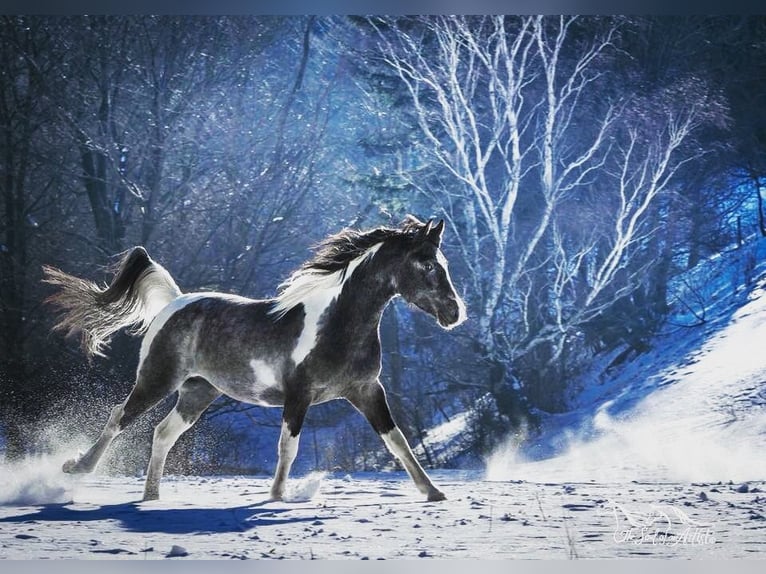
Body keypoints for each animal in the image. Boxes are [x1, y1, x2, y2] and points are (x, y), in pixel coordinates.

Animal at [43, 216, 466, 502]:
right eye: (427, 265)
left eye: (443, 263)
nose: (455, 313)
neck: (338, 324)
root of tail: (176, 303)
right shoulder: (299, 394)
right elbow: (288, 447)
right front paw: (277, 495)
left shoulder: (366, 390)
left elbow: (398, 441)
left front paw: (433, 491)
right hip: (156, 379)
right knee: (119, 417)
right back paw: (77, 467)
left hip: (198, 392)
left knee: (163, 432)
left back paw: (151, 497)